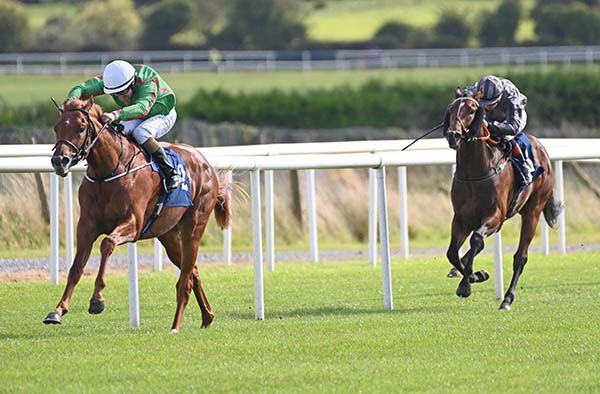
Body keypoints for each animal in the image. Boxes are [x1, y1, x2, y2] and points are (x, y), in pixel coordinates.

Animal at [44, 97, 232, 330]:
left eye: (80, 127)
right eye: (57, 127)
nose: (60, 161)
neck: (109, 170)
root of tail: (206, 164)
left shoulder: (133, 224)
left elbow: (107, 243)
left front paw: (97, 300)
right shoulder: (86, 226)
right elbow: (76, 267)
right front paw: (58, 310)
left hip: (194, 227)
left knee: (184, 281)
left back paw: (175, 326)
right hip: (168, 234)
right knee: (193, 271)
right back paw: (207, 316)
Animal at [440, 89, 564, 310]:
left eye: (471, 110)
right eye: (451, 109)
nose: (453, 135)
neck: (474, 172)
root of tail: (542, 149)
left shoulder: (495, 217)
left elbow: (476, 240)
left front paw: (467, 284)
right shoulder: (461, 219)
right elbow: (452, 252)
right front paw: (476, 275)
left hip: (532, 212)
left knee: (520, 257)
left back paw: (507, 299)